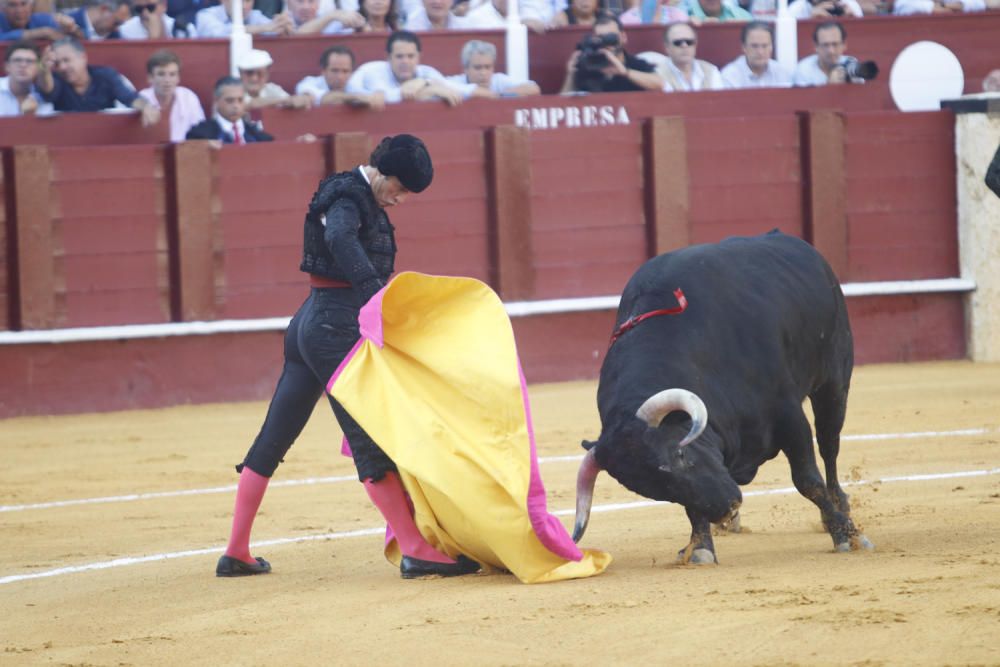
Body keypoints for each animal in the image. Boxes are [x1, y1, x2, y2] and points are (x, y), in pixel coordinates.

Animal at [576, 231, 872, 564]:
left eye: (680, 454)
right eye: (655, 491)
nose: (728, 507)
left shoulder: (788, 414)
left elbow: (808, 480)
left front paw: (846, 535)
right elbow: (692, 507)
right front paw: (700, 547)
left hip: (833, 382)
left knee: (829, 447)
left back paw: (839, 507)